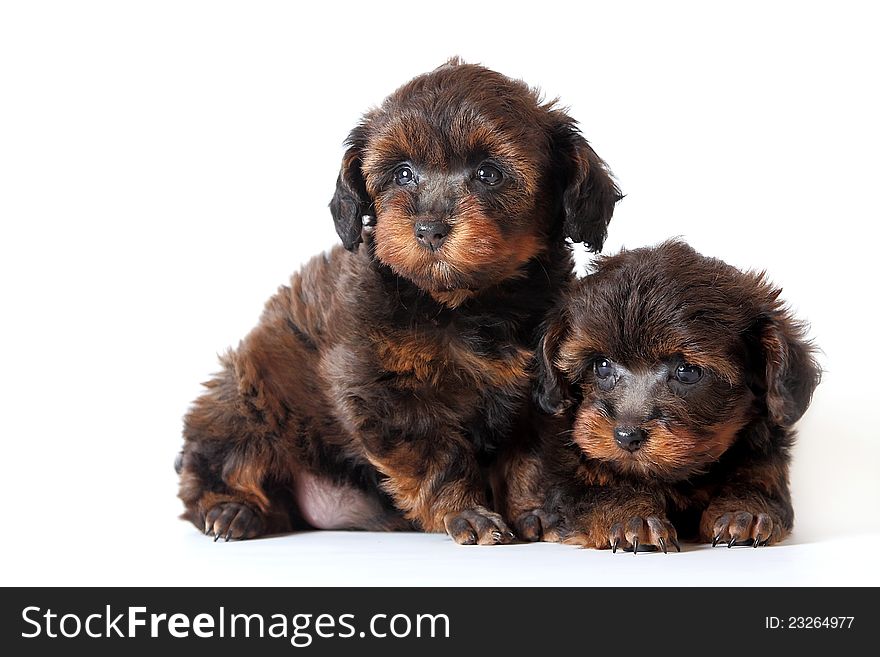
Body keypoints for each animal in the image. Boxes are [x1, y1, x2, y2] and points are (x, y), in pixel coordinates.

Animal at [175, 60, 624, 544]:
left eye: (489, 173)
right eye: (403, 173)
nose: (429, 228)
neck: (464, 303)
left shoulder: (539, 392)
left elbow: (530, 459)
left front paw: (535, 511)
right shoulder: (385, 389)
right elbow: (437, 457)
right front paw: (464, 513)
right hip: (244, 398)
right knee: (223, 458)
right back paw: (230, 509)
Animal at [506, 241, 820, 548]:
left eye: (687, 372)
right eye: (601, 365)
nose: (626, 436)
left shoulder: (765, 448)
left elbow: (759, 479)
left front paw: (744, 511)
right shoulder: (567, 460)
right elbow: (596, 489)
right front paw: (632, 518)